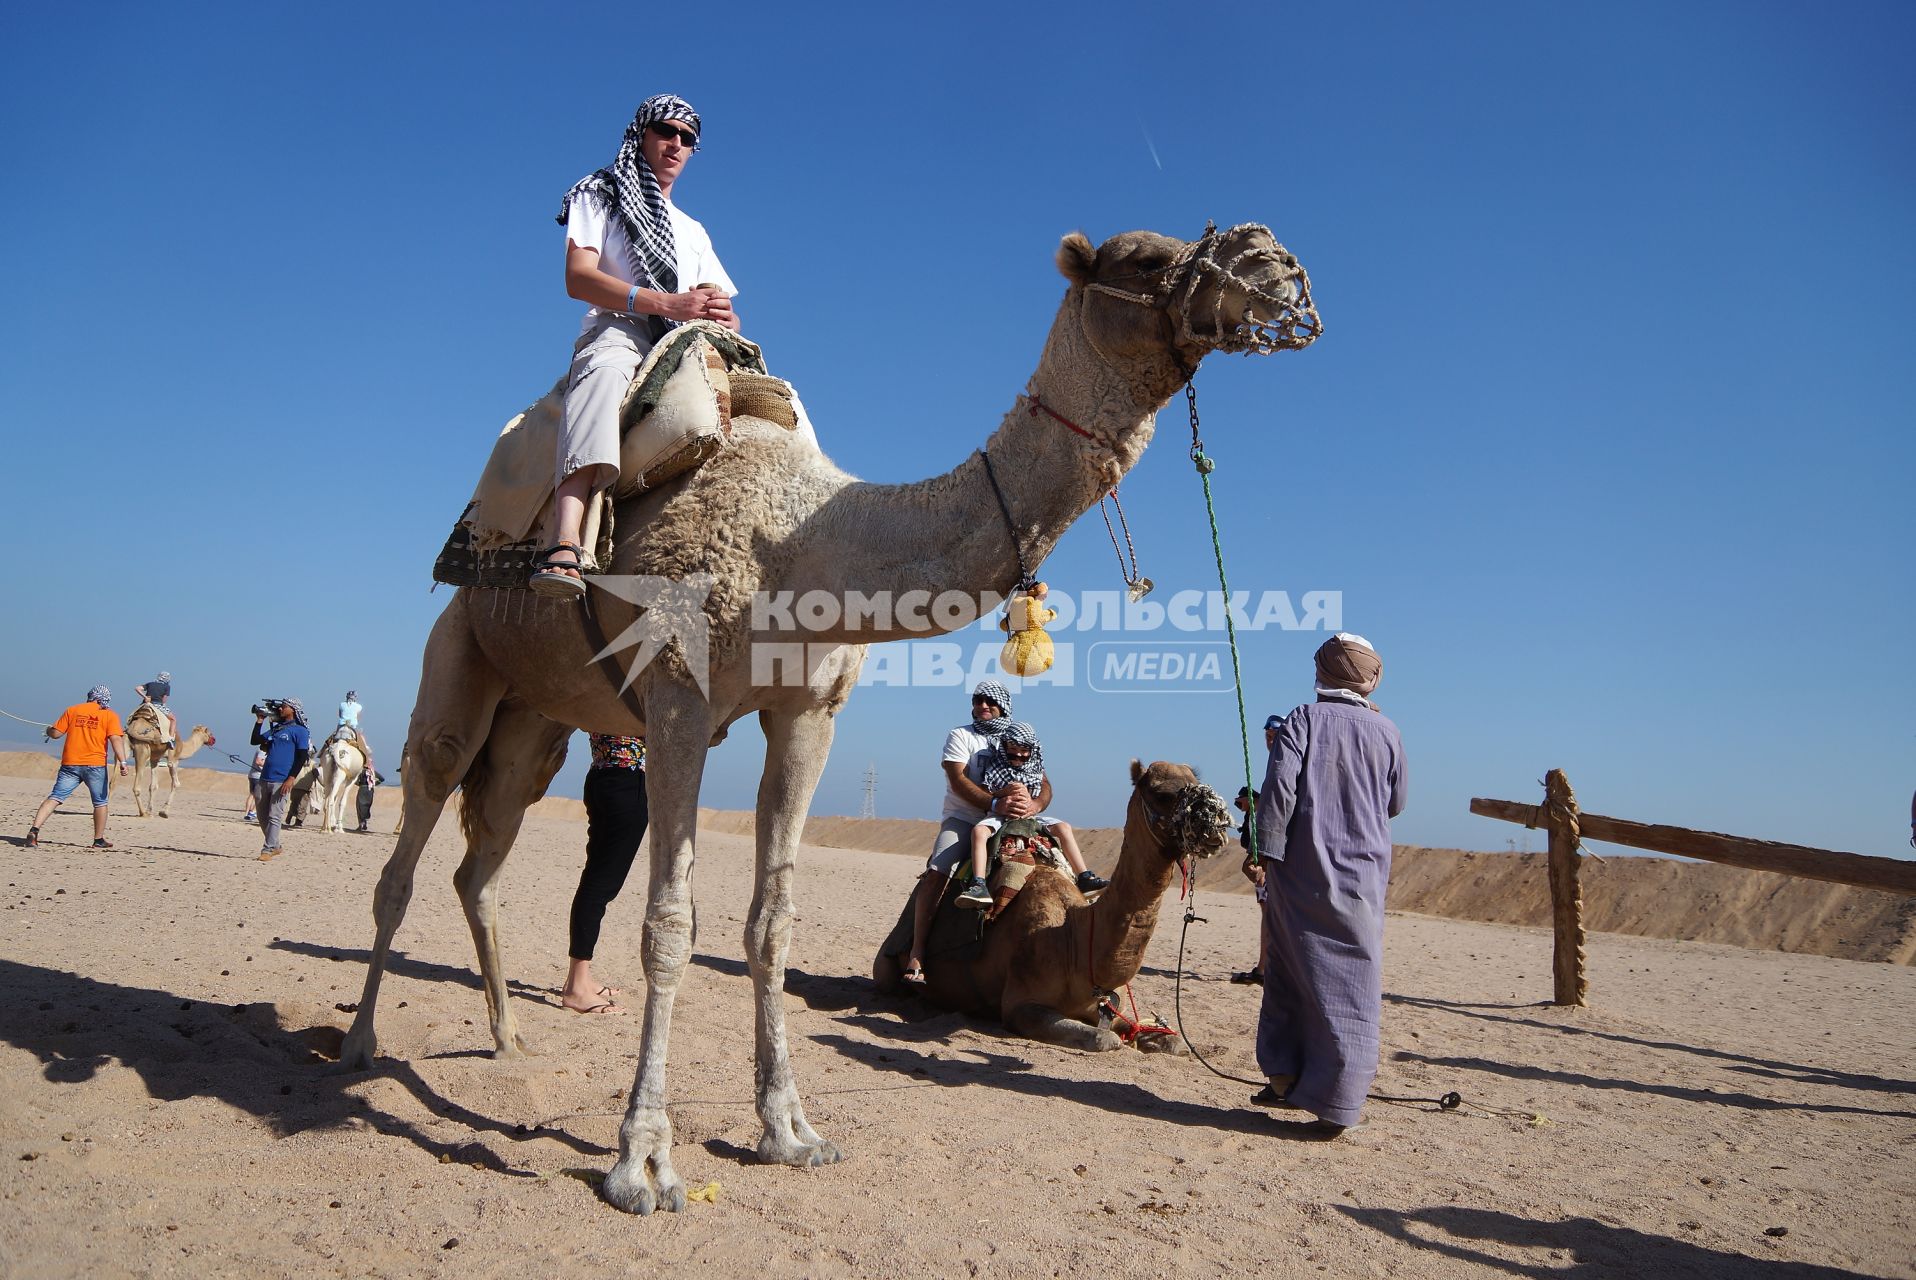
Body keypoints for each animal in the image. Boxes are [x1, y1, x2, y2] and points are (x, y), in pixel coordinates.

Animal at [877, 758, 1226, 1050]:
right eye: (1162, 794)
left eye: (1195, 781)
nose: (1217, 823)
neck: (1074, 938)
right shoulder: (1019, 1006)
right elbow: (1104, 1039)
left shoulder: (1111, 1006)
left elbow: (1175, 1042)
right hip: (887, 965)